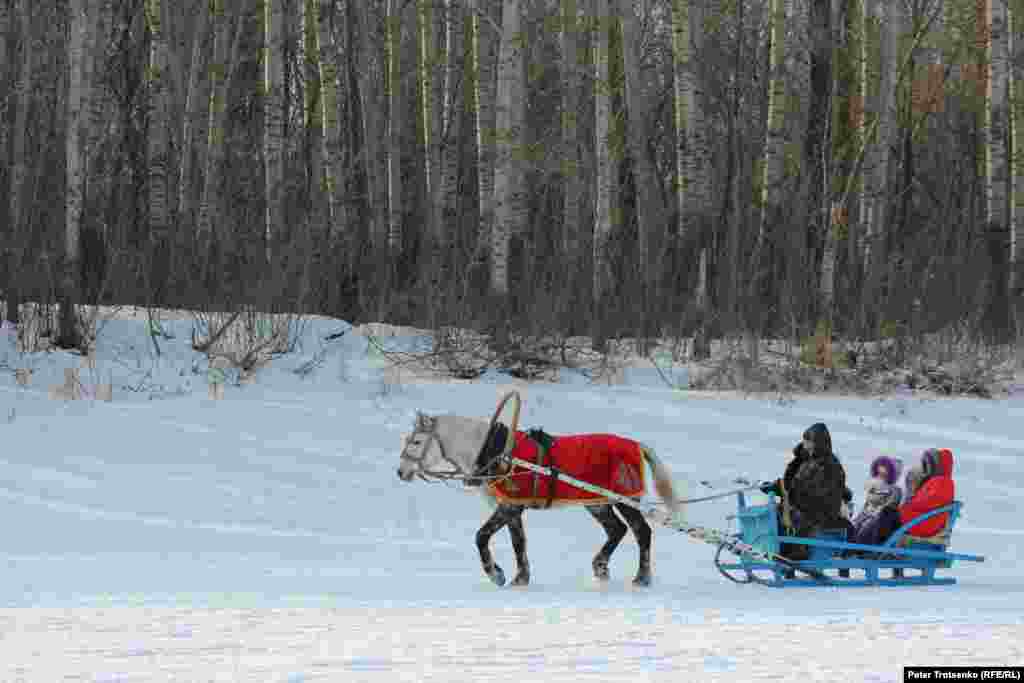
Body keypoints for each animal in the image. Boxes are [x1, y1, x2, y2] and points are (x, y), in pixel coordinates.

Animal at [393, 411, 679, 589]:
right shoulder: (512, 509)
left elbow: (481, 536)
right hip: (596, 503)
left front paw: (496, 574)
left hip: (624, 500)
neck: (496, 453)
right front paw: (521, 577)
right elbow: (518, 542)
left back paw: (642, 578)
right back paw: (600, 567)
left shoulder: (510, 506)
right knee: (617, 530)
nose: (400, 471)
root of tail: (635, 445)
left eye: (416, 441)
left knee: (642, 531)